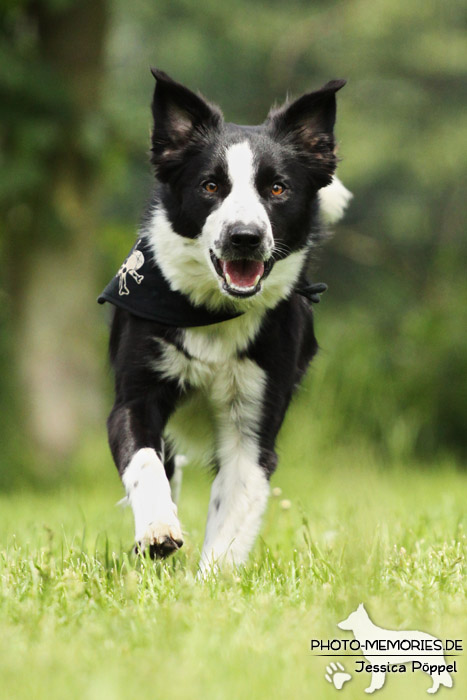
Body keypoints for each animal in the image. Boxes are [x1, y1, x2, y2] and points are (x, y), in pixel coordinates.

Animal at [101, 69, 352, 576]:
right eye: (210, 186)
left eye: (277, 189)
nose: (245, 237)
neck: (212, 312)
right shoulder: (134, 398)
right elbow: (145, 464)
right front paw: (157, 529)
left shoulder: (251, 425)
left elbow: (234, 510)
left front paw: (212, 582)